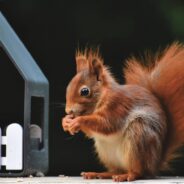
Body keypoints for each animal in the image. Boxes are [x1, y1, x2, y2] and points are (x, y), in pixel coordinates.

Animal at [61, 42, 184, 181]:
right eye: (68, 87)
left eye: (85, 91)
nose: (68, 110)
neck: (103, 96)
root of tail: (155, 163)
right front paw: (65, 121)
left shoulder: (117, 106)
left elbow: (106, 124)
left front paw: (78, 121)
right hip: (106, 152)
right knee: (116, 170)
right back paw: (99, 173)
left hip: (139, 137)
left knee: (139, 171)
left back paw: (127, 175)